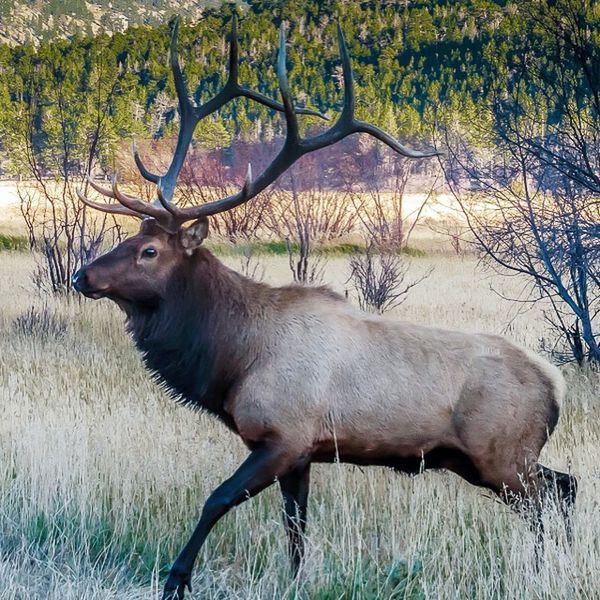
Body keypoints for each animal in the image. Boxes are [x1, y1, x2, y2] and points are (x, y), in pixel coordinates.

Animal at [72, 16, 576, 600]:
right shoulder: (302, 452)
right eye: (131, 237)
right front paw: (295, 581)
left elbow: (217, 500)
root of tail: (555, 384)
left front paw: (176, 579)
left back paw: (543, 571)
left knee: (547, 501)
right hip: (492, 460)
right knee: (566, 486)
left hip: (502, 455)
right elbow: (296, 527)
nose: (83, 275)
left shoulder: (284, 436)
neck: (235, 358)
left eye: (150, 251)